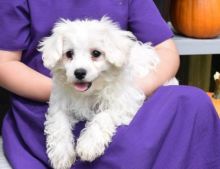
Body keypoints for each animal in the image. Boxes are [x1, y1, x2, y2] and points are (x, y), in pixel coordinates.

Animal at [38, 17, 178, 169]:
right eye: (69, 54)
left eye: (96, 53)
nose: (79, 72)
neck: (90, 92)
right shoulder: (60, 103)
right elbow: (59, 124)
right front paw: (61, 154)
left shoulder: (125, 102)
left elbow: (103, 116)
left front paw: (89, 144)